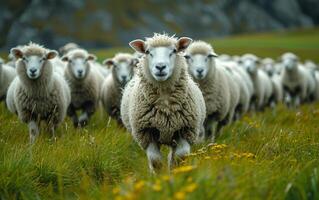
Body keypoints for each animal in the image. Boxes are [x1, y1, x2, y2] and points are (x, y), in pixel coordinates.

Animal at [121, 33, 206, 173]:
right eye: (148, 52)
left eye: (174, 51)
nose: (160, 67)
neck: (165, 103)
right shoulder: (146, 133)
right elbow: (156, 161)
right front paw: (160, 176)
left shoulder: (185, 130)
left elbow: (179, 157)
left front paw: (176, 173)